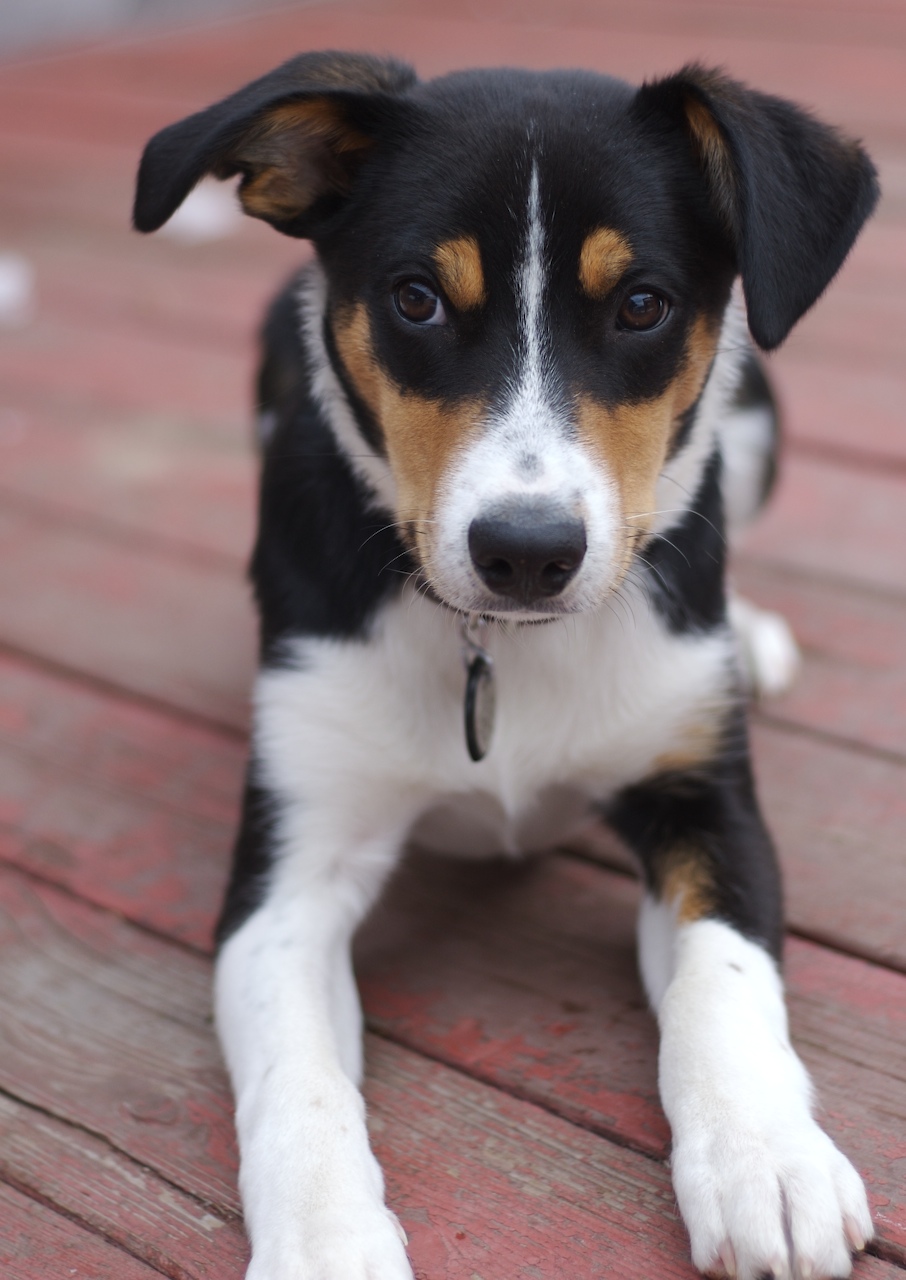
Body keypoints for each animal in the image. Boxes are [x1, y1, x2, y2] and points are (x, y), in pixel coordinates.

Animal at [134, 55, 875, 1280]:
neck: (505, 648)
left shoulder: (705, 802)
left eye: (642, 306)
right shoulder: (286, 876)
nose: (526, 552)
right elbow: (300, 1083)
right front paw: (329, 1243)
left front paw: (765, 1159)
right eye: (416, 299)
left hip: (760, 411)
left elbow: (722, 983)